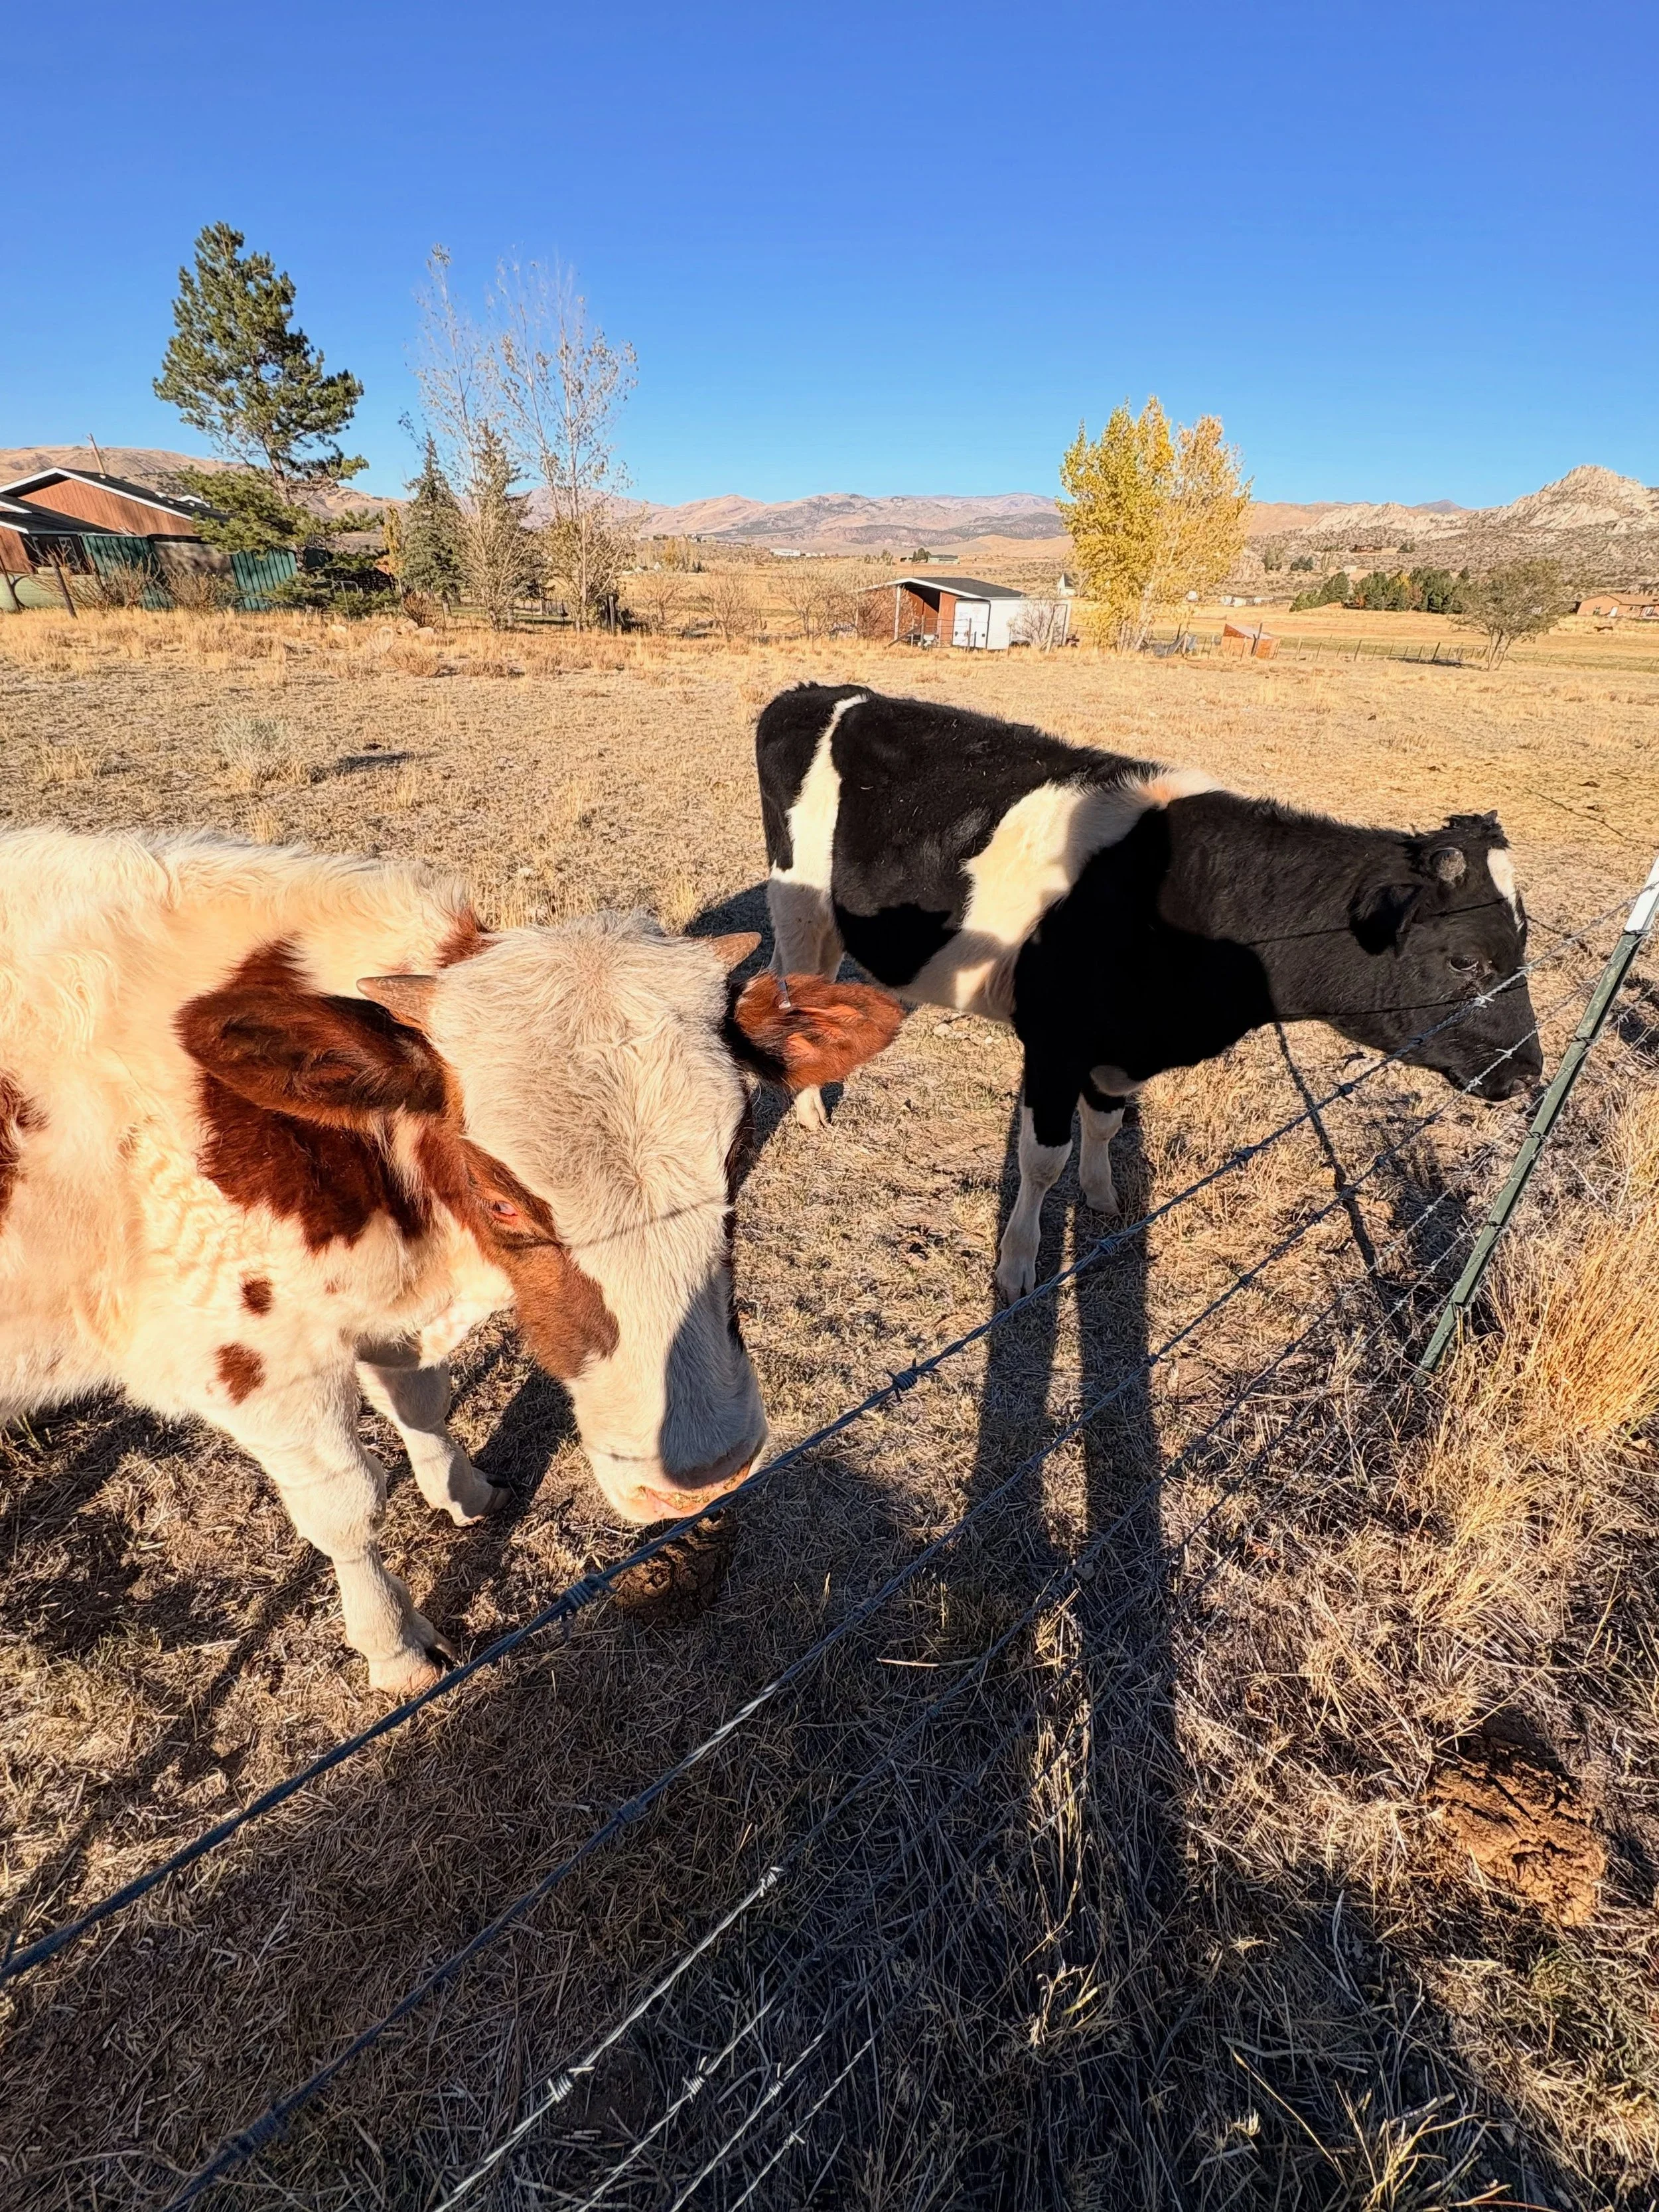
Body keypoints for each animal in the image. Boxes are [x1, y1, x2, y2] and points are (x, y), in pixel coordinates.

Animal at [0, 828, 901, 1692]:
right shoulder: (253, 1365)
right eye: (501, 1201)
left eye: (739, 1148)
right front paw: (392, 1644)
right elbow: (345, 1508)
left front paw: (460, 1489)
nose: (706, 1469)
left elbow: (423, 1405)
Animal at [758, 684, 1542, 1302]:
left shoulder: (1119, 1048)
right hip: (796, 898)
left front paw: (1103, 1198)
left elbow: (1104, 1126)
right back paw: (810, 1111)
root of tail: (822, 692)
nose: (1529, 1074)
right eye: (1465, 960)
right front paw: (1016, 1267)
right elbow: (1041, 1159)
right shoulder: (1054, 1040)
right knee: (795, 987)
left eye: (1524, 942)